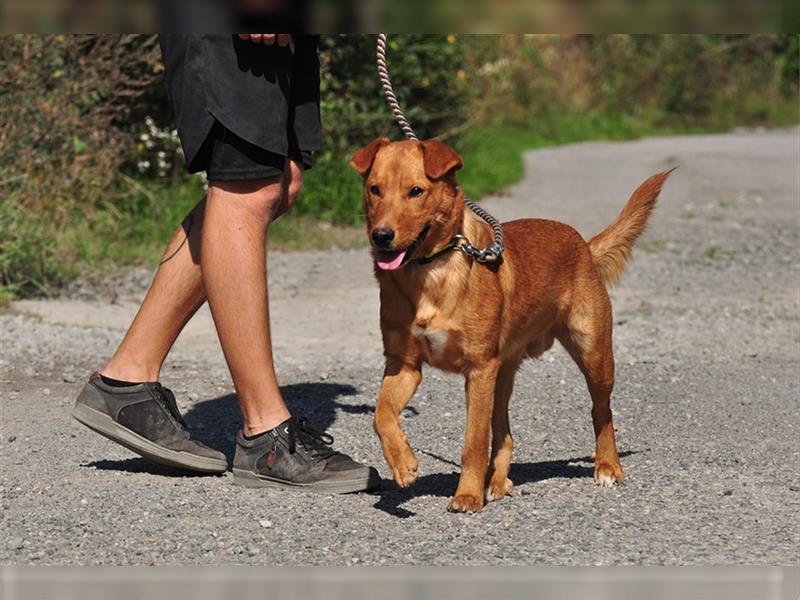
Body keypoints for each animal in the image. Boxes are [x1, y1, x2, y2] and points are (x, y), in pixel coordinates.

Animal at [350, 137, 668, 510]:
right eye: (375, 189)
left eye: (416, 191)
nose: (381, 236)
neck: (431, 272)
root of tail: (584, 246)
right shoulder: (405, 365)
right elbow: (381, 415)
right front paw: (403, 463)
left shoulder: (478, 369)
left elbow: (473, 442)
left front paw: (467, 495)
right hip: (501, 376)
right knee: (505, 435)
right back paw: (499, 482)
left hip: (594, 357)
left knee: (602, 412)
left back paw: (607, 466)